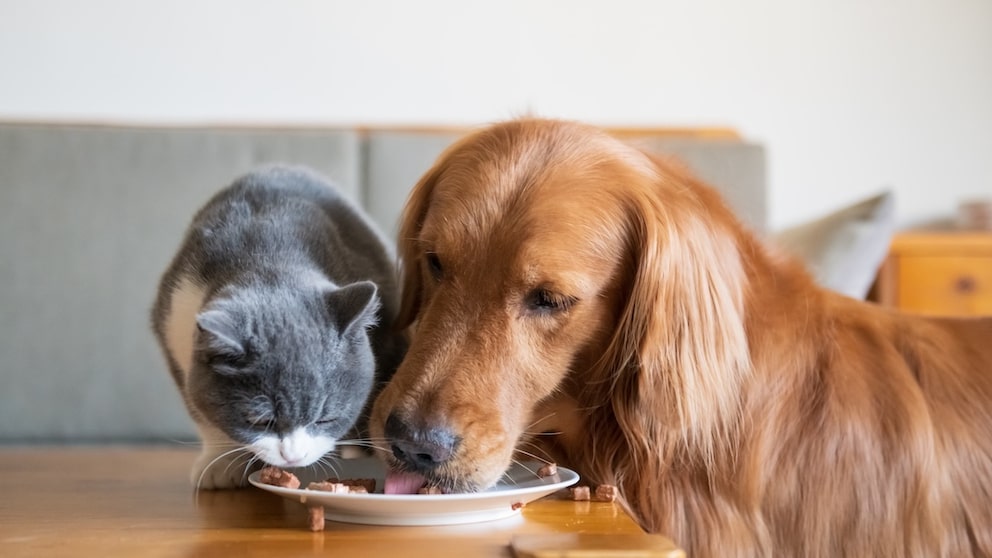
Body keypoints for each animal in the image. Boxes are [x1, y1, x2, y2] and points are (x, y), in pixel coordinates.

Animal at [151, 165, 406, 490]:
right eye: (260, 421)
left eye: (325, 418)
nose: (293, 457)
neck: (266, 254)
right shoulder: (174, 320)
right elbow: (201, 409)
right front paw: (220, 463)